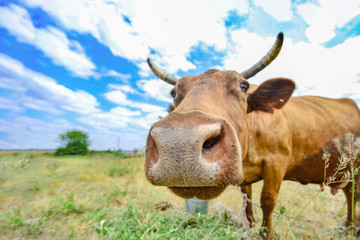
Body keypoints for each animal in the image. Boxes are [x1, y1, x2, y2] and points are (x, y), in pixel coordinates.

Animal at [143, 32, 360, 238]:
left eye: (244, 86)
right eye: (174, 93)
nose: (180, 143)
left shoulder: (276, 164)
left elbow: (267, 201)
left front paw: (266, 233)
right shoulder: (244, 176)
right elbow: (247, 203)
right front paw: (252, 227)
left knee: (354, 195)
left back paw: (353, 228)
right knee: (349, 194)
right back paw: (348, 225)